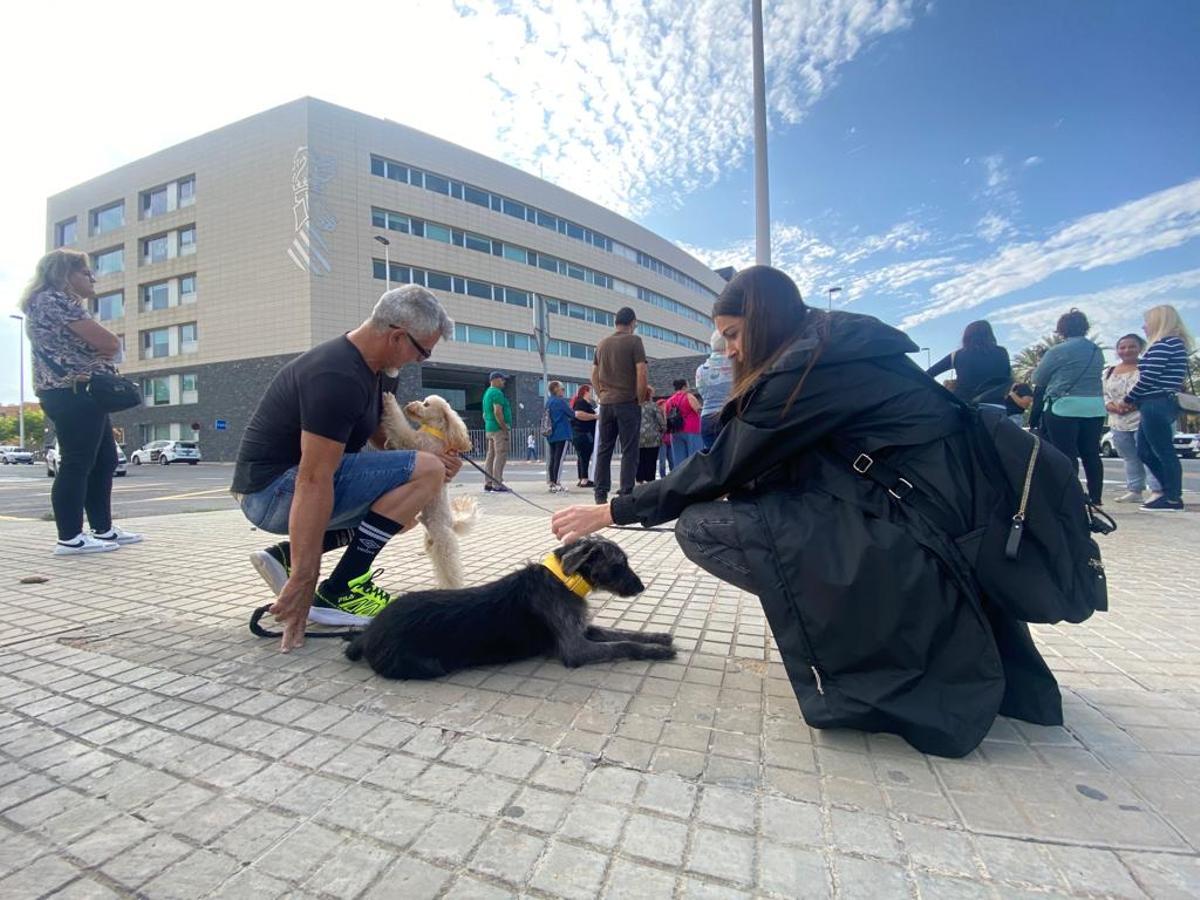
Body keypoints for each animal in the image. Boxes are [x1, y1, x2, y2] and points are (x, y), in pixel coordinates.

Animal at [345, 540, 676, 681]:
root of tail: (369, 632)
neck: (563, 580)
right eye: (619, 565)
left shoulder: (583, 629)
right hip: (427, 665)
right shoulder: (575, 649)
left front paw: (658, 638)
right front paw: (657, 652)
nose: (641, 587)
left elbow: (621, 632)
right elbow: (623, 644)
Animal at [381, 393, 480, 592]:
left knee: (450, 570)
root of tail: (452, 523)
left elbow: (401, 429)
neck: (434, 430)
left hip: (443, 544)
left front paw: (389, 402)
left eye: (426, 404)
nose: (410, 405)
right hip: (431, 542)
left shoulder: (415, 442)